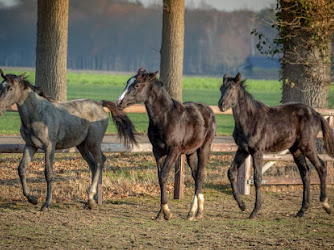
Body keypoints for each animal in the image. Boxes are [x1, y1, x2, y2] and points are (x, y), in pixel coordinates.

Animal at [0, 69, 137, 211]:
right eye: (1, 87)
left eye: (11, 88)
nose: (0, 108)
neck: (38, 115)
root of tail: (100, 105)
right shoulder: (30, 145)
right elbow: (21, 169)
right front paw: (32, 199)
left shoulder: (49, 147)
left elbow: (48, 173)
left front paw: (46, 204)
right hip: (82, 145)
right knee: (93, 164)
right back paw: (91, 200)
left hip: (93, 142)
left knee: (100, 161)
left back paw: (91, 199)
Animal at [117, 67, 217, 220]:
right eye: (127, 82)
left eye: (137, 85)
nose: (119, 102)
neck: (165, 118)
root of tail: (209, 110)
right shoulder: (157, 152)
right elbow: (160, 177)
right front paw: (160, 213)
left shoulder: (174, 151)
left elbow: (164, 175)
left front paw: (167, 212)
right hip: (190, 152)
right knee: (195, 176)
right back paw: (191, 213)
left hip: (204, 147)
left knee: (200, 176)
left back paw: (198, 212)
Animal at [218, 73, 332, 219]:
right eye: (221, 88)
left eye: (232, 88)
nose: (221, 105)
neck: (250, 120)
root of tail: (317, 114)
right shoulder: (243, 150)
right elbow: (231, 172)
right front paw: (242, 205)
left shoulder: (257, 151)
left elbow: (257, 178)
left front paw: (255, 211)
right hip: (296, 150)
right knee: (305, 173)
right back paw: (301, 210)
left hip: (308, 147)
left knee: (321, 167)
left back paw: (326, 205)